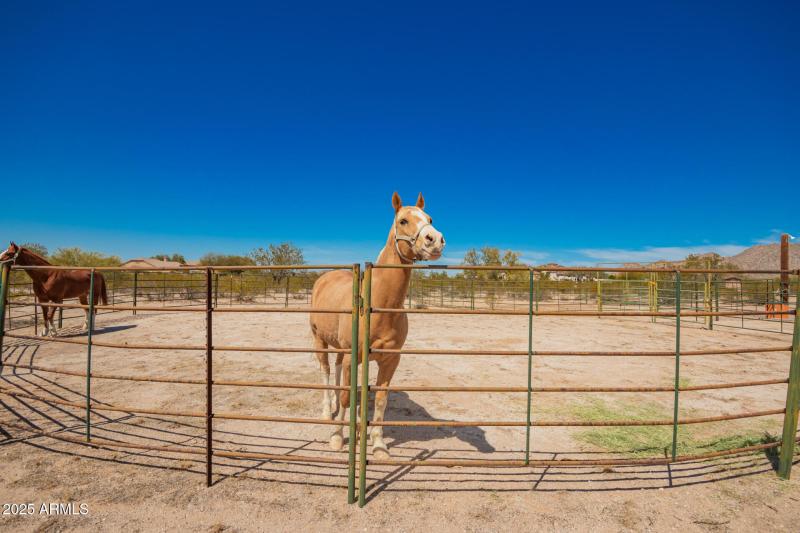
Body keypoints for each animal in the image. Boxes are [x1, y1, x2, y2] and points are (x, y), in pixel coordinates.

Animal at [309, 192, 445, 458]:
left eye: (430, 218)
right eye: (403, 221)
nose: (435, 240)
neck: (379, 306)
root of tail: (325, 277)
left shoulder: (390, 360)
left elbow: (380, 400)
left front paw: (378, 444)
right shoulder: (353, 357)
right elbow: (346, 397)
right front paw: (337, 436)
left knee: (340, 374)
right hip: (319, 341)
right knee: (326, 372)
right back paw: (326, 412)